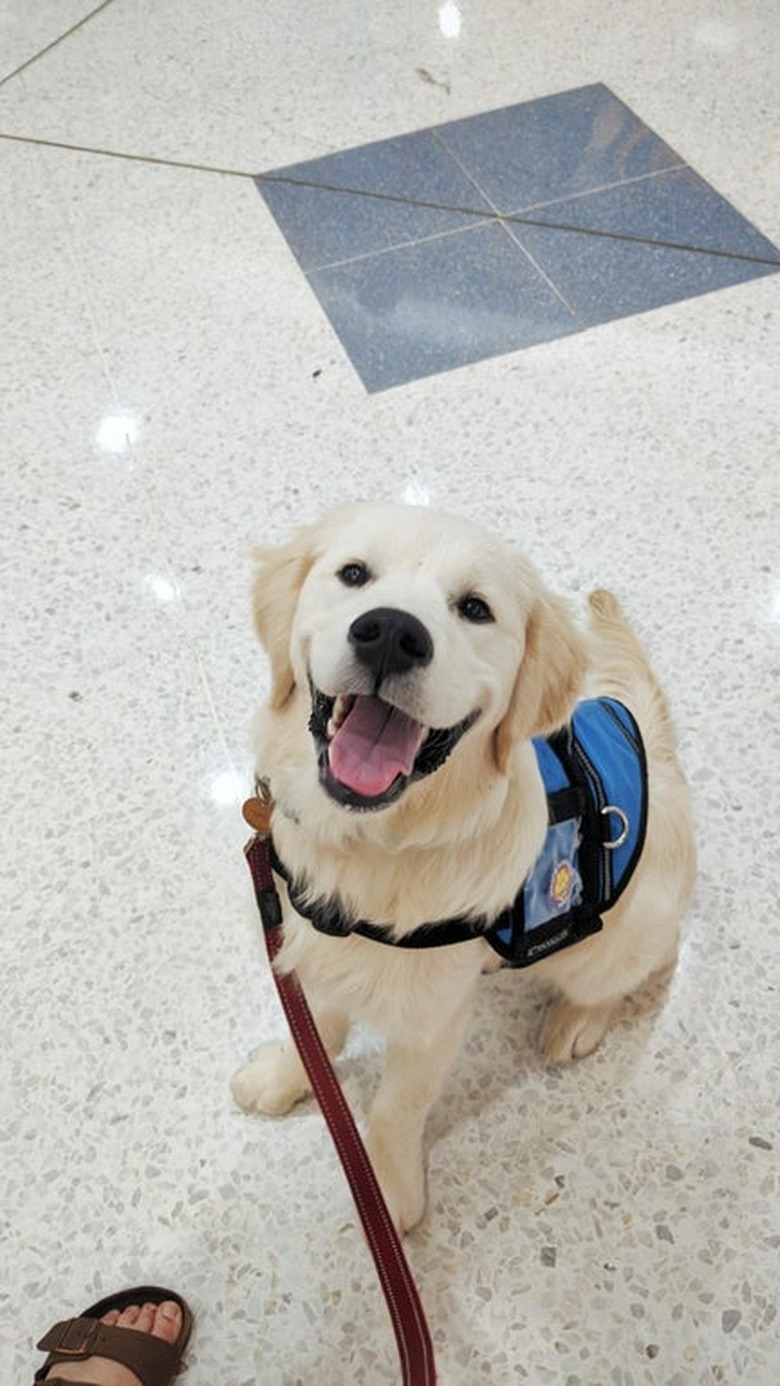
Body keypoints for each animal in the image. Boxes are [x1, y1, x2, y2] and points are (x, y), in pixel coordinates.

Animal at [231, 504, 695, 1230]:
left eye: (475, 608)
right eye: (354, 574)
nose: (391, 633)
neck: (372, 847)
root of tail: (660, 757)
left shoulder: (432, 1020)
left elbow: (396, 1107)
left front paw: (388, 1192)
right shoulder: (315, 950)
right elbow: (318, 1034)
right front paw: (285, 1077)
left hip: (616, 940)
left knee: (637, 967)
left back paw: (577, 1022)